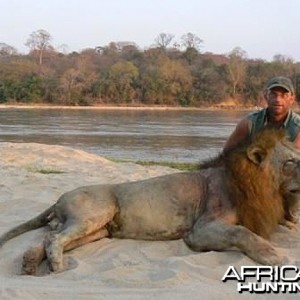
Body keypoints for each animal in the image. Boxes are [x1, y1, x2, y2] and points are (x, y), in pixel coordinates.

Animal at [0, 126, 300, 274]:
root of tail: (58, 198)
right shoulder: (200, 230)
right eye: (291, 162)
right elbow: (243, 233)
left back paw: (29, 263)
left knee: (49, 239)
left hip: (99, 231)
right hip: (97, 212)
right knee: (54, 239)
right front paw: (275, 258)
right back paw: (55, 266)